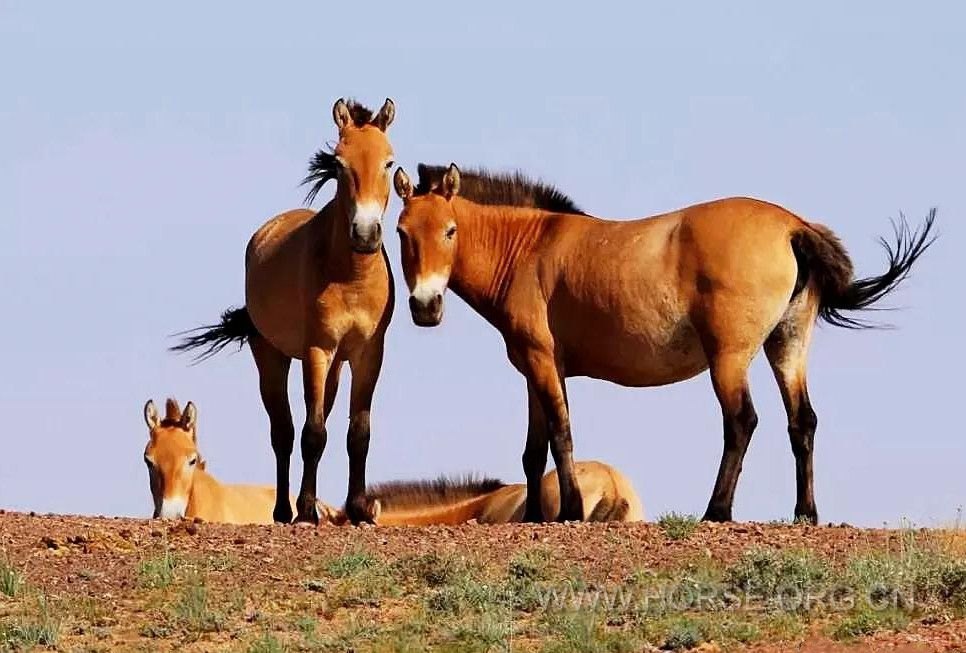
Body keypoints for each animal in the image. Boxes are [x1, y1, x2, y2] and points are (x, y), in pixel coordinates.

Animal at [173, 98, 398, 524]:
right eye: (340, 163)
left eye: (389, 163)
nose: (365, 233)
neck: (351, 276)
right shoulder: (316, 351)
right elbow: (312, 433)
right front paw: (307, 509)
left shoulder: (368, 353)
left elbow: (358, 432)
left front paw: (359, 508)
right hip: (273, 358)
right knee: (284, 431)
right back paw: (283, 509)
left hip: (334, 367)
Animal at [392, 164, 936, 524]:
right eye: (401, 233)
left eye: (450, 230)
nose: (425, 306)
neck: (529, 247)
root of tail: (791, 227)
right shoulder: (535, 369)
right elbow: (534, 449)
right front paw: (533, 517)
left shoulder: (543, 363)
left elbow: (561, 436)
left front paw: (567, 512)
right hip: (787, 345)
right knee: (802, 422)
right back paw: (805, 513)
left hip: (729, 359)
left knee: (742, 422)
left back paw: (716, 511)